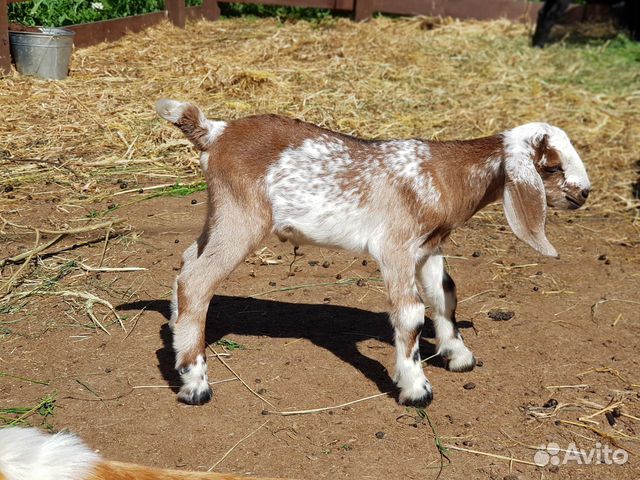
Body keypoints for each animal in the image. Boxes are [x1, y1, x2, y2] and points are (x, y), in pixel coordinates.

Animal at [154, 99, 592, 406]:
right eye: (551, 166)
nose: (584, 193)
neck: (441, 174)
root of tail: (216, 132)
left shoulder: (428, 247)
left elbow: (444, 295)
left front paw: (458, 355)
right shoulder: (396, 247)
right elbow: (411, 314)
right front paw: (416, 388)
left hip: (221, 213)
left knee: (188, 260)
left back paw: (176, 331)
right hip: (242, 217)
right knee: (197, 281)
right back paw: (194, 383)